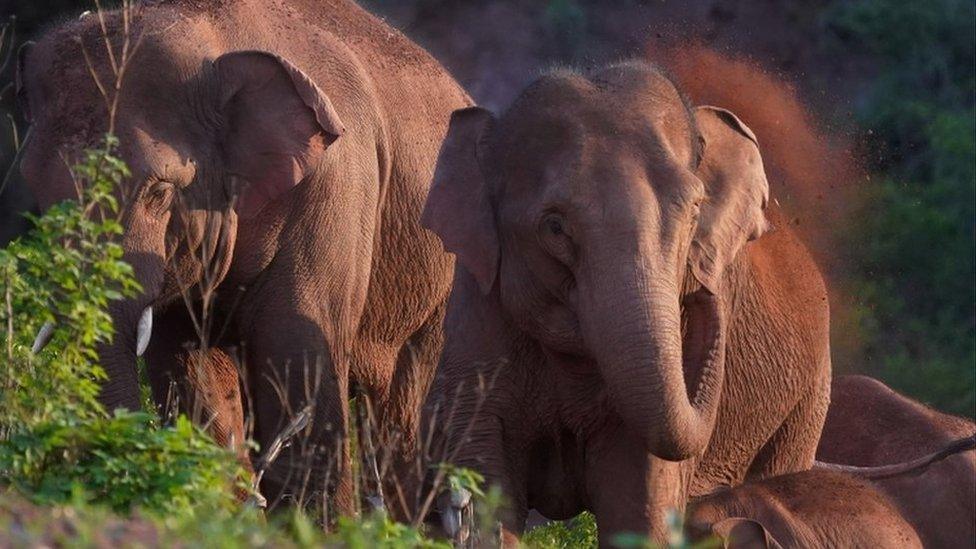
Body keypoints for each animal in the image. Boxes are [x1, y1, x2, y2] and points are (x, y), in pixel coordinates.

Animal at [16, 0, 468, 512]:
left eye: (158, 191)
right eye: (35, 186)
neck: (208, 34)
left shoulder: (334, 189)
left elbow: (298, 361)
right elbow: (190, 373)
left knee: (407, 413)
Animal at [420, 61, 832, 544]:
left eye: (694, 212)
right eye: (554, 227)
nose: (704, 287)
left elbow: (639, 499)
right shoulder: (477, 317)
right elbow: (488, 488)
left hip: (807, 401)